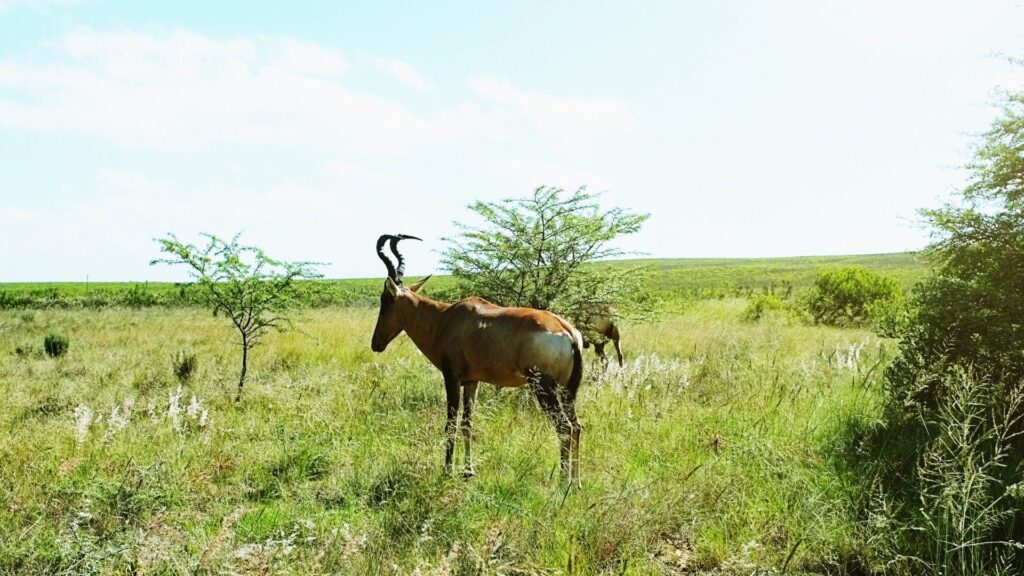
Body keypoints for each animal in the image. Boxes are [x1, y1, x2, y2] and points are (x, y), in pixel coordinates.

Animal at [372, 233, 589, 483]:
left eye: (385, 300)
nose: (375, 343)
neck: (445, 317)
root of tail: (568, 332)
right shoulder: (472, 381)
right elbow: (468, 424)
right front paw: (468, 471)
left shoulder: (452, 378)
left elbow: (451, 424)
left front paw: (448, 470)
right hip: (568, 390)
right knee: (577, 426)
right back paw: (577, 482)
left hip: (544, 388)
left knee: (564, 427)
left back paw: (564, 482)